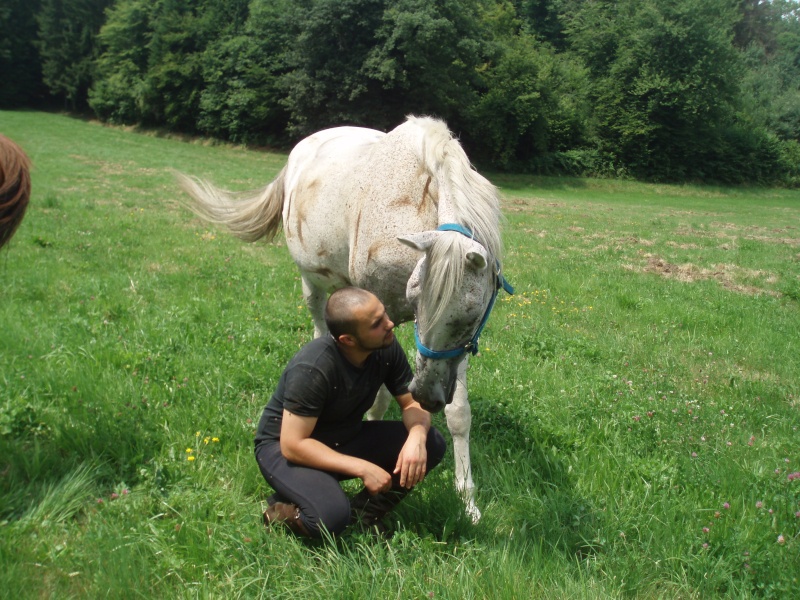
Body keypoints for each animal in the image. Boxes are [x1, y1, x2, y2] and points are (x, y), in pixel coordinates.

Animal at [180, 116, 512, 520]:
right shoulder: (384, 314)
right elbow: (380, 398)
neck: (417, 201)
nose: (425, 395)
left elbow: (459, 413)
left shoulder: (456, 351)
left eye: (469, 316)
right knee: (319, 325)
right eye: (415, 299)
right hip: (311, 283)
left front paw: (468, 502)